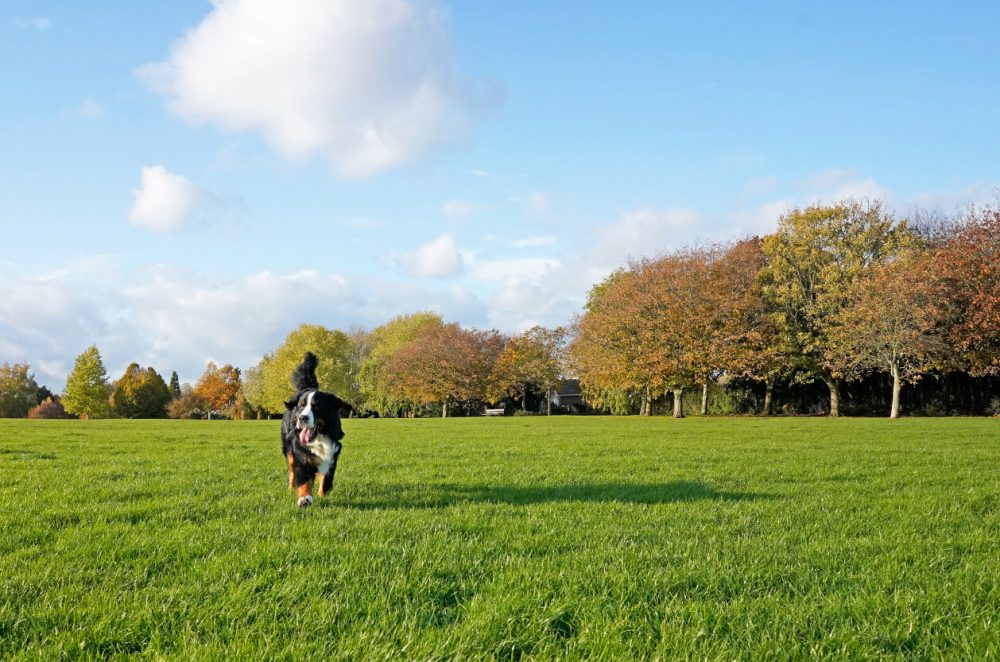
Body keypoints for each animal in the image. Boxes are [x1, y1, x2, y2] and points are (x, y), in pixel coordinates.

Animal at [282, 352, 348, 508]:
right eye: (301, 406)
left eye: (316, 406)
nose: (302, 418)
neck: (319, 438)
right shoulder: (301, 454)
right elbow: (304, 480)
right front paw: (304, 498)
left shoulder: (333, 453)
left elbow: (326, 479)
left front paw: (323, 494)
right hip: (289, 451)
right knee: (292, 471)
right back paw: (291, 486)